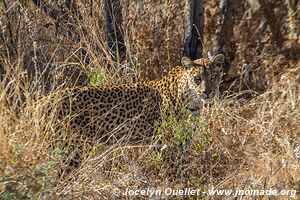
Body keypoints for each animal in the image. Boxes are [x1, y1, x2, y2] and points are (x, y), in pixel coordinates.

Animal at [52, 54, 224, 175]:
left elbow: (183, 165)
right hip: (73, 148)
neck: (193, 104)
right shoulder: (165, 143)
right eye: (197, 79)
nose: (208, 92)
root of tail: (49, 98)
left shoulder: (184, 140)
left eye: (214, 77)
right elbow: (173, 169)